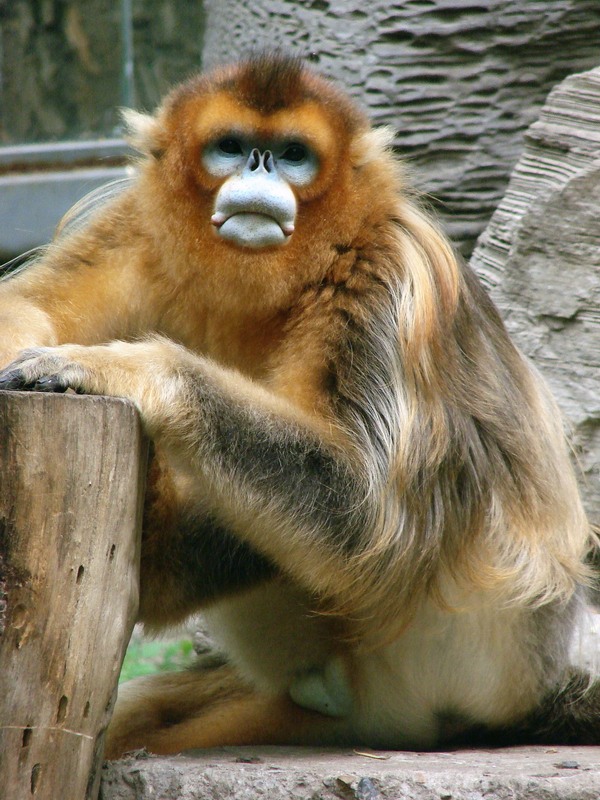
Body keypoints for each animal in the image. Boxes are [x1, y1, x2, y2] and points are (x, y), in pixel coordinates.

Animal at [0, 51, 598, 757]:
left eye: (293, 155)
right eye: (232, 147)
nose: (259, 168)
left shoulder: (386, 276)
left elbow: (371, 513)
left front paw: (120, 369)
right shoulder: (136, 229)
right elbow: (29, 307)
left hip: (478, 653)